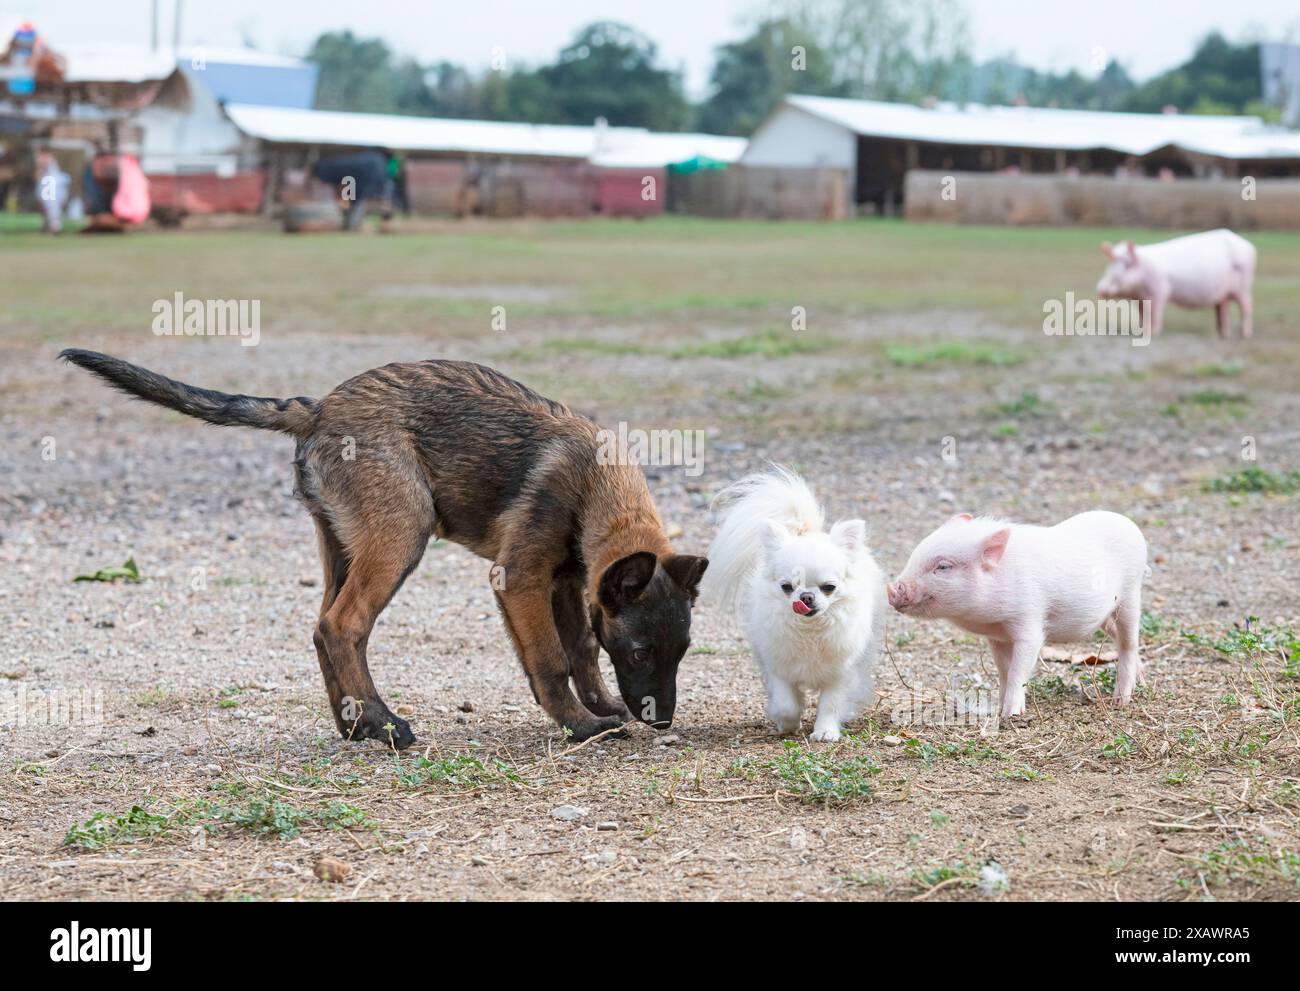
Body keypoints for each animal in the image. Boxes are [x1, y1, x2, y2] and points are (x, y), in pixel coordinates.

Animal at [59, 348, 707, 738]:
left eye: (681, 652)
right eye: (641, 653)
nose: (663, 722)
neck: (594, 485)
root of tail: (318, 408)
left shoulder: (569, 582)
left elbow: (583, 650)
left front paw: (600, 706)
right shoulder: (520, 579)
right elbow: (550, 659)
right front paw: (579, 723)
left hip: (344, 547)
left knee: (325, 627)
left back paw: (356, 724)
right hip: (401, 536)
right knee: (342, 625)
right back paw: (384, 723)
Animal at [707, 468, 889, 738]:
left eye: (829, 587)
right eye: (787, 587)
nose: (805, 597)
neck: (810, 631)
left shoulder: (840, 673)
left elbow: (832, 703)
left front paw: (825, 731)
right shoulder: (779, 667)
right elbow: (786, 704)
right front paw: (788, 724)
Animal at [1102, 227, 1253, 340]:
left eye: (1127, 265)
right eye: (1110, 265)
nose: (1101, 288)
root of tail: (1249, 246)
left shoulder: (1160, 289)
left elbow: (1155, 312)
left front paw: (1154, 333)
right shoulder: (1140, 297)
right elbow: (1143, 314)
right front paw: (1142, 331)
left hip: (1244, 286)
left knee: (1247, 307)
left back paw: (1244, 335)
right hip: (1223, 295)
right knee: (1223, 309)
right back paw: (1223, 335)